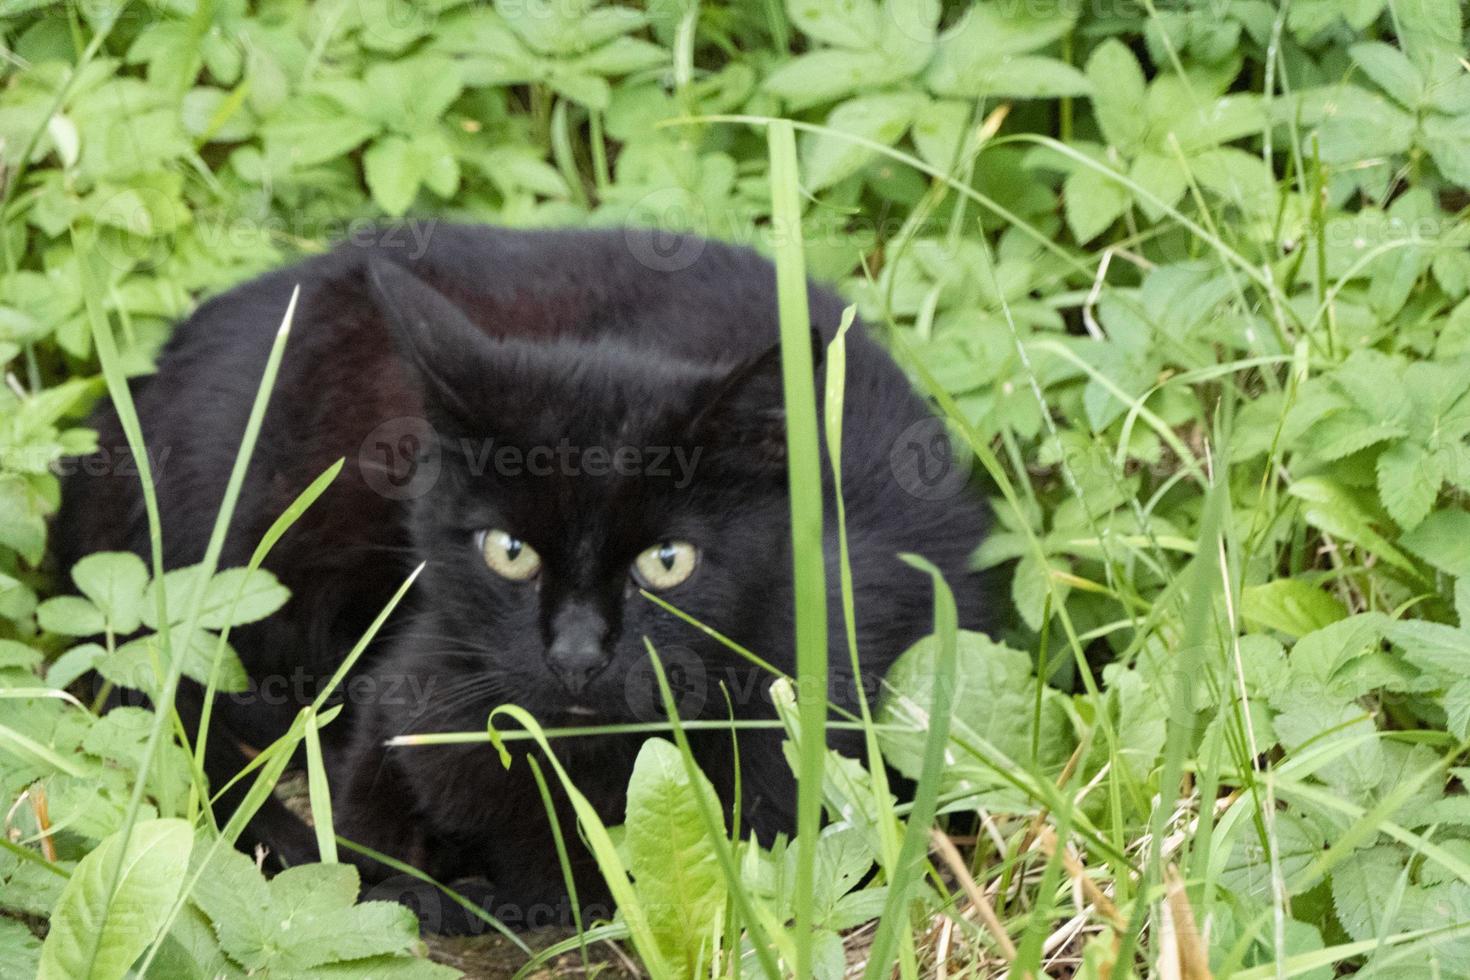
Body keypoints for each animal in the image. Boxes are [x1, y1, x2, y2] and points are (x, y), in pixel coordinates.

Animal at [54, 224, 987, 934]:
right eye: (510, 551)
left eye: (668, 562)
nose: (576, 654)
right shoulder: (404, 693)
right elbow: (363, 838)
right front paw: (438, 887)